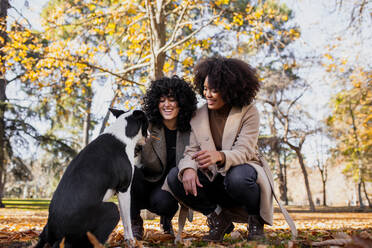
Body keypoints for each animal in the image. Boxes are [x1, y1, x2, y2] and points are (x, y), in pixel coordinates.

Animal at [35, 109, 148, 247]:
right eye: (147, 123)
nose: (149, 134)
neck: (122, 133)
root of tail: (56, 237)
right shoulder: (124, 190)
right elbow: (127, 221)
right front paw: (130, 240)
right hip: (111, 210)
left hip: (46, 230)